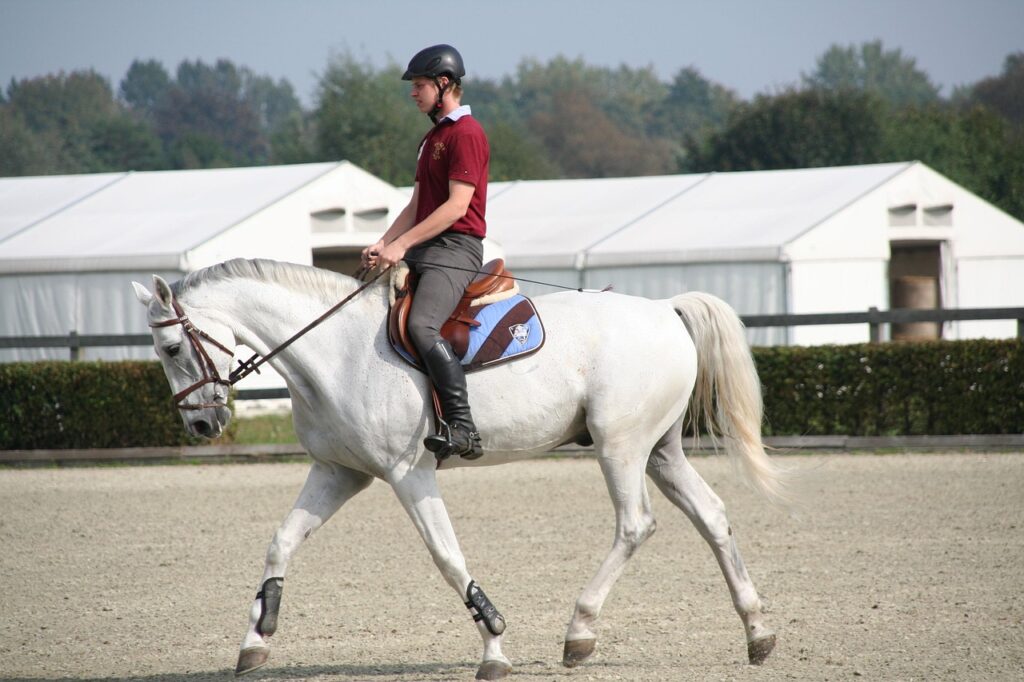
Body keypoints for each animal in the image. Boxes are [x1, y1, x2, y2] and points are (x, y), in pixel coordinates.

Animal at [132, 257, 785, 680]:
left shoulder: (408, 474)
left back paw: (580, 632)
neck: (334, 353)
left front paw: (493, 644)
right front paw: (257, 635)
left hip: (619, 446)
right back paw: (757, 633)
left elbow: (447, 558)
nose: (201, 426)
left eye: (171, 348)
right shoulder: (339, 472)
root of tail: (665, 311)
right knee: (712, 517)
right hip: (658, 450)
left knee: (635, 524)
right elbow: (281, 541)